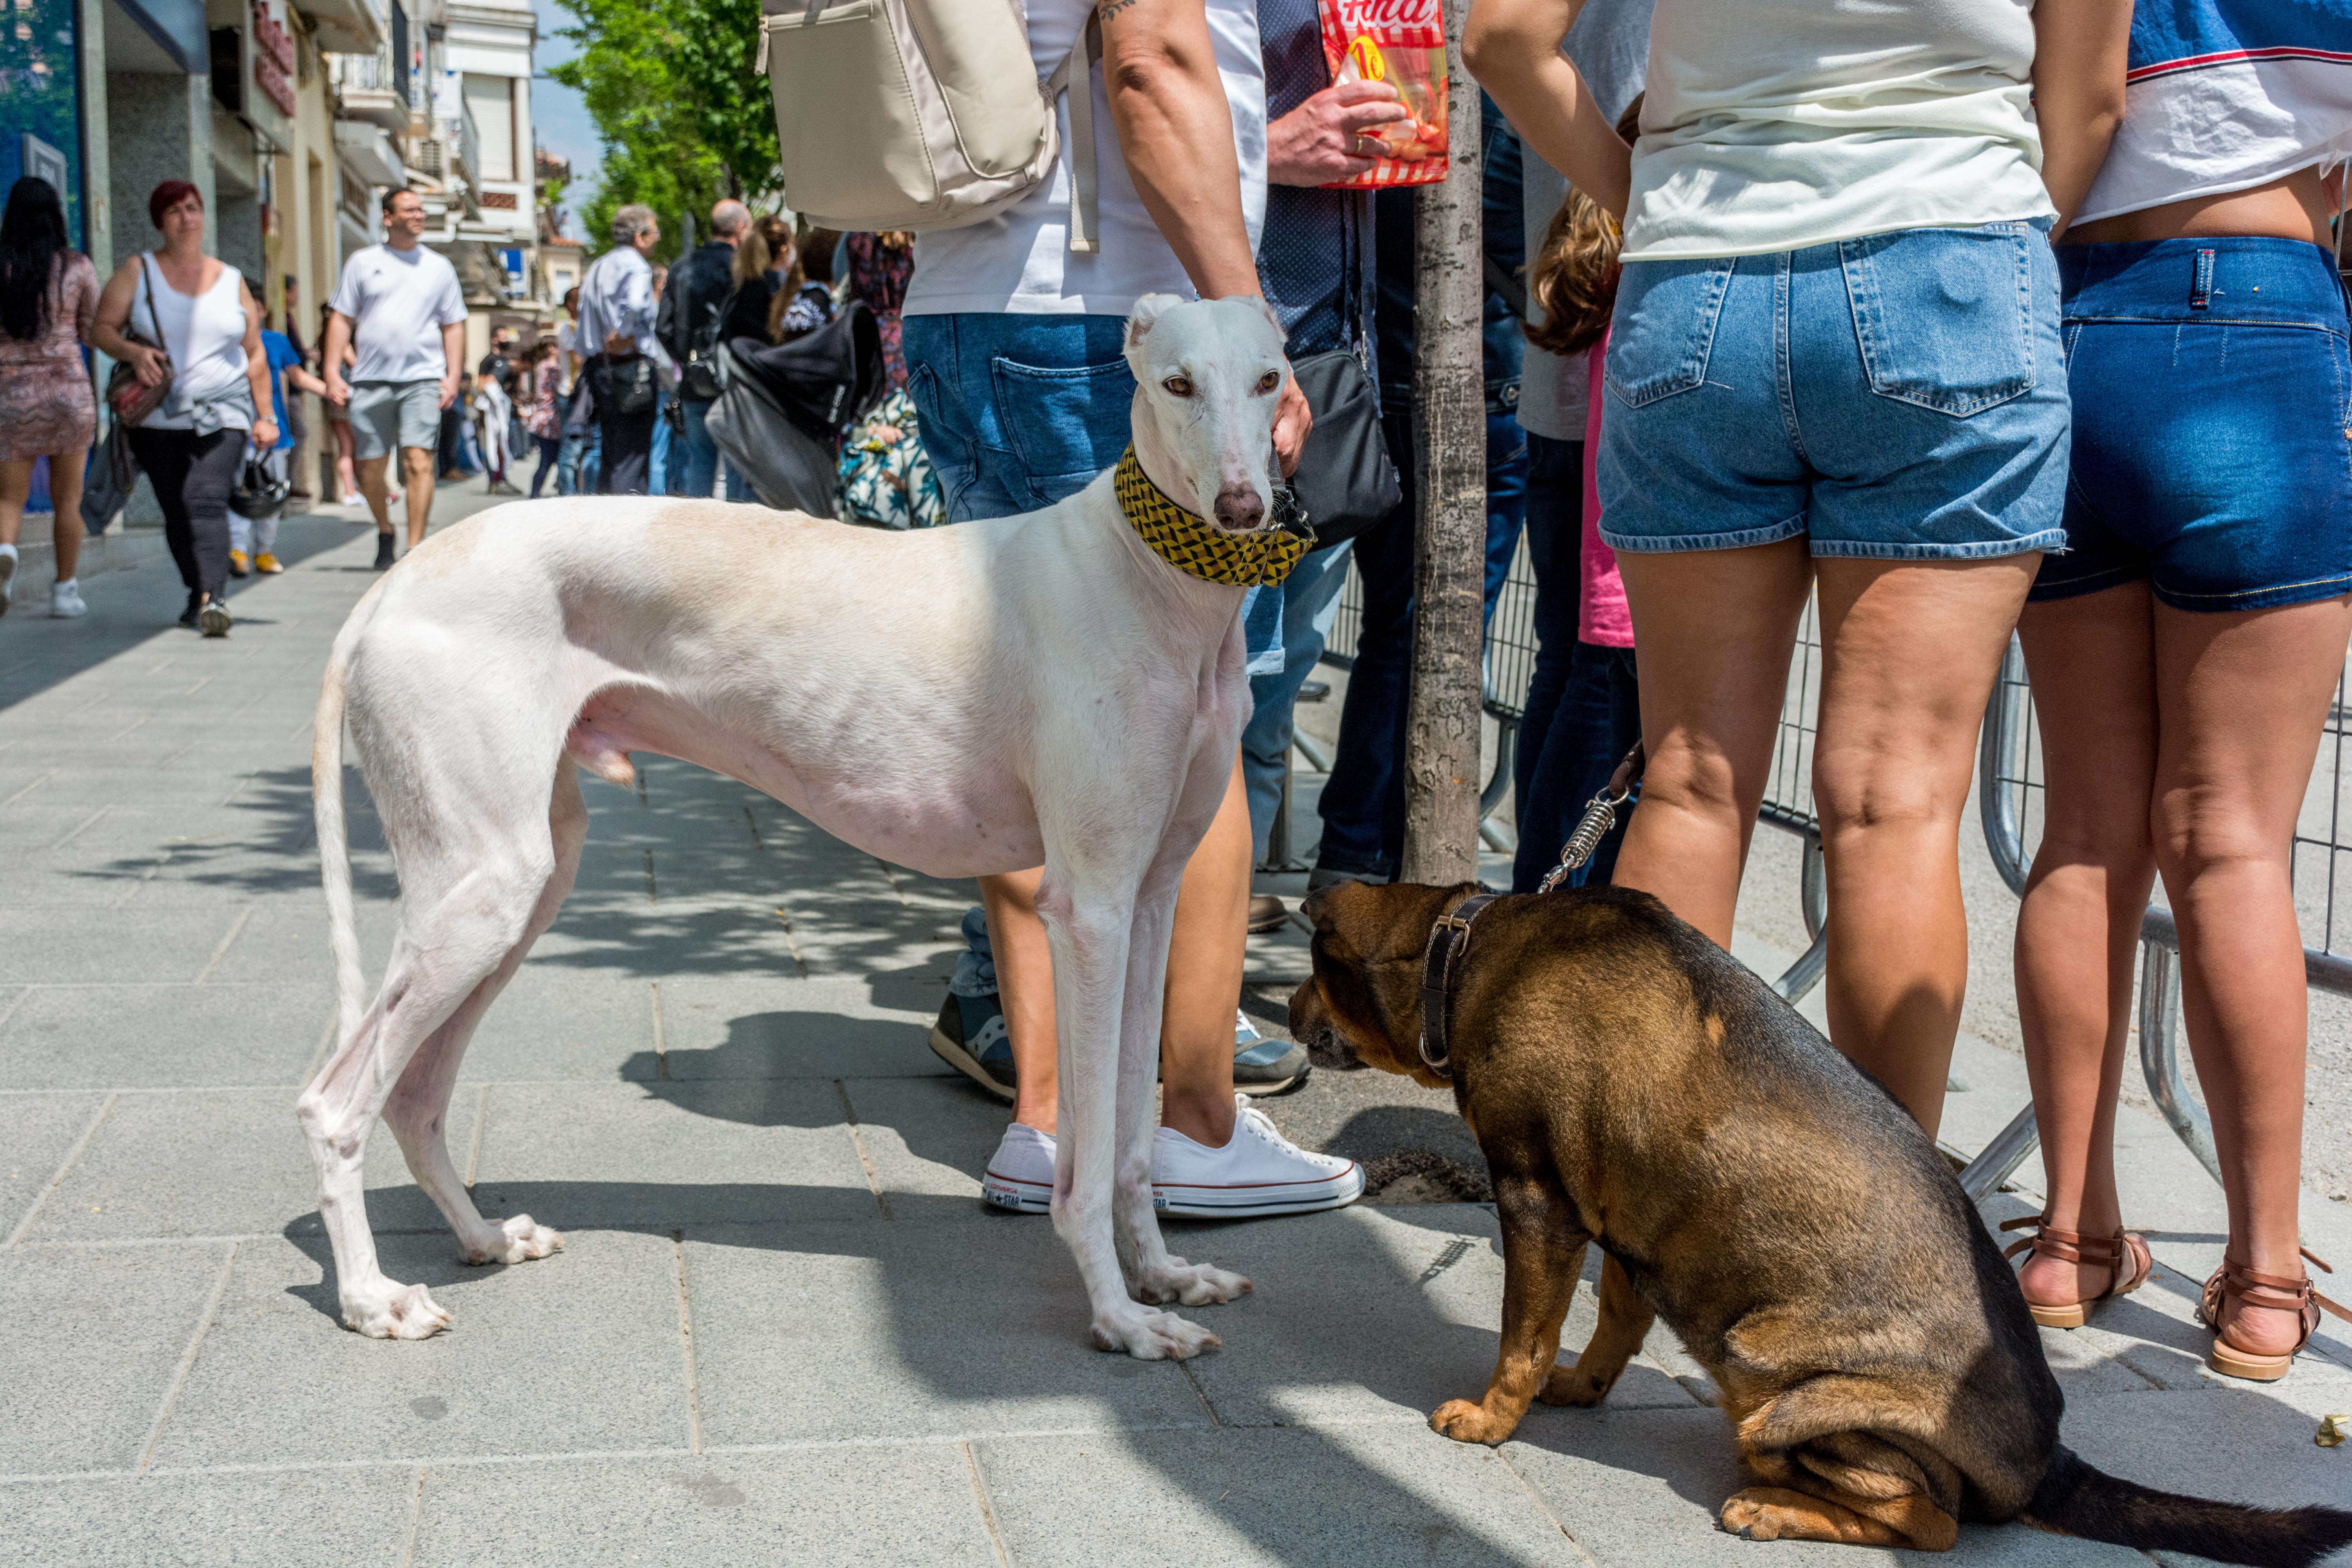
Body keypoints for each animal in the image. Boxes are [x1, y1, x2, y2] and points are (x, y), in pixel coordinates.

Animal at [301, 294, 1298, 1363]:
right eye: (1177, 384)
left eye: (1270, 380)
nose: (1244, 509)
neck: (1146, 573)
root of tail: (397, 581)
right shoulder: (1090, 908)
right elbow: (1087, 1147)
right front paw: (1119, 1317)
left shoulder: (1149, 898)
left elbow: (1129, 1138)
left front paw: (1164, 1275)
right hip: (482, 884)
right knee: (336, 1101)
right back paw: (371, 1298)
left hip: (529, 878)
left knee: (414, 1093)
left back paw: (484, 1235)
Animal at [1289, 884, 2352, 1568]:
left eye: (1310, 971)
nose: (1288, 1012)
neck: (1466, 941)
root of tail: (2048, 1457)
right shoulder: (1632, 1218)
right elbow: (1613, 1325)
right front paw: (1581, 1389)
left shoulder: (1535, 1196)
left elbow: (1523, 1334)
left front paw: (1488, 1418)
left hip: (1777, 1386)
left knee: (1932, 1521)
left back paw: (1769, 1507)